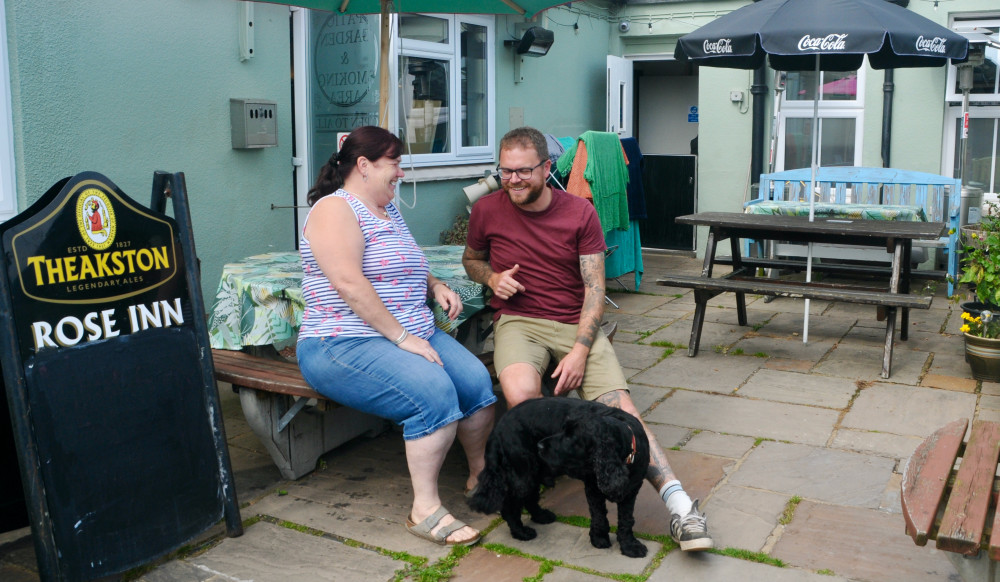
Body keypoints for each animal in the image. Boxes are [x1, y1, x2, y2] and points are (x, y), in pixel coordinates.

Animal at [466, 400, 648, 560]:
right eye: (563, 429)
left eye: (570, 437)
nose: (539, 446)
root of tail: (497, 428)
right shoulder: (592, 488)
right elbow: (598, 515)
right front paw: (599, 538)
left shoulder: (631, 491)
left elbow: (626, 520)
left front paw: (629, 546)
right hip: (523, 474)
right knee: (511, 506)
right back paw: (521, 532)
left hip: (535, 471)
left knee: (530, 498)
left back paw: (541, 516)